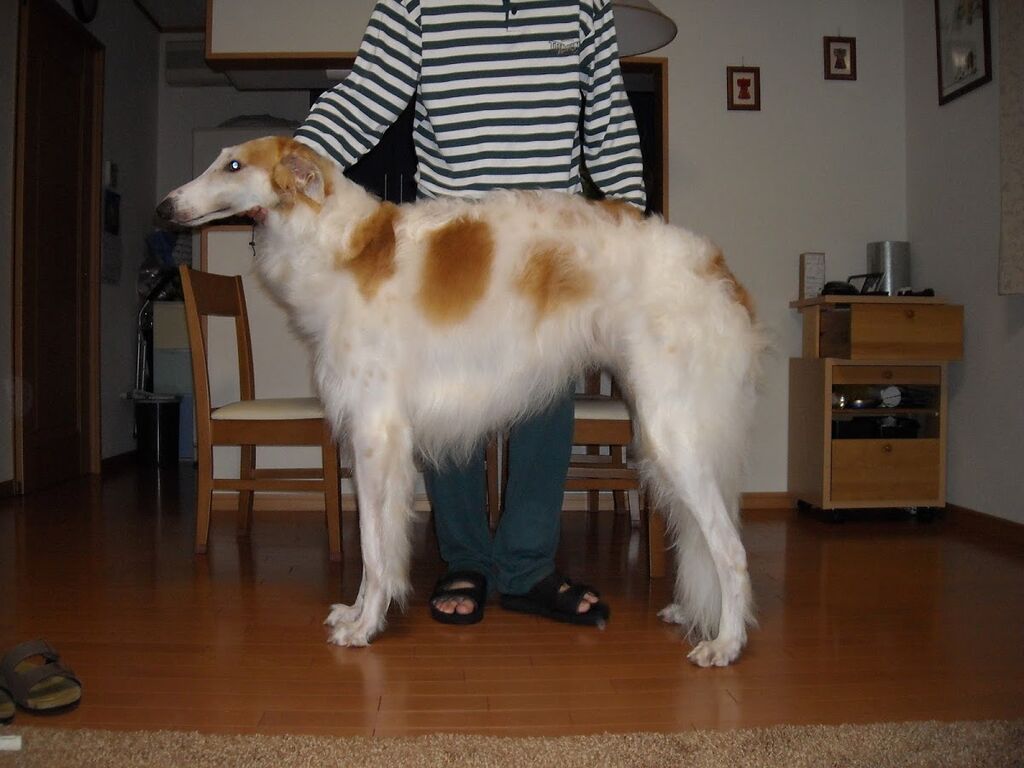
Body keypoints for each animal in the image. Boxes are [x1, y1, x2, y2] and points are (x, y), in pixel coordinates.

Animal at [157, 136, 765, 667]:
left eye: (234, 165)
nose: (164, 207)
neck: (338, 244)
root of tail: (717, 268)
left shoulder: (377, 435)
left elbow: (375, 549)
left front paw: (366, 625)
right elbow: (374, 547)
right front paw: (354, 613)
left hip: (672, 431)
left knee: (731, 550)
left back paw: (726, 644)